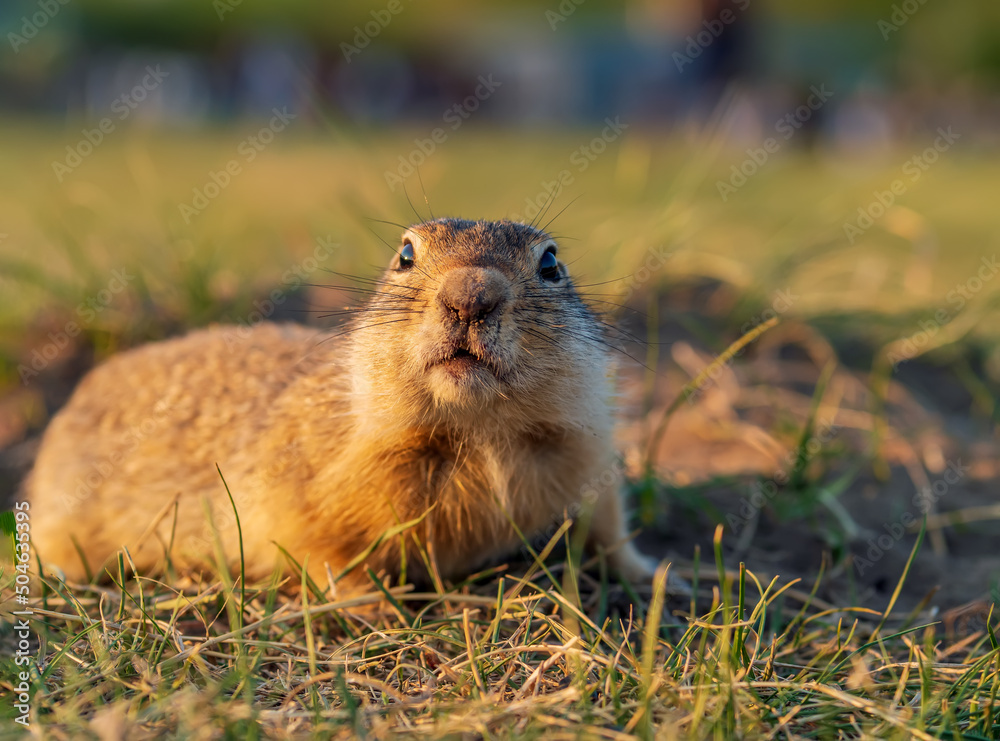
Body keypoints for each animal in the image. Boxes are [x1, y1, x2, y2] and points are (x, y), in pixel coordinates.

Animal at [27, 217, 656, 592]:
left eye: (550, 263)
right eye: (405, 254)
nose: (470, 296)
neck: (478, 433)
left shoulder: (585, 445)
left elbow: (609, 523)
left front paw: (652, 574)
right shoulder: (303, 488)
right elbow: (319, 552)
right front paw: (376, 608)